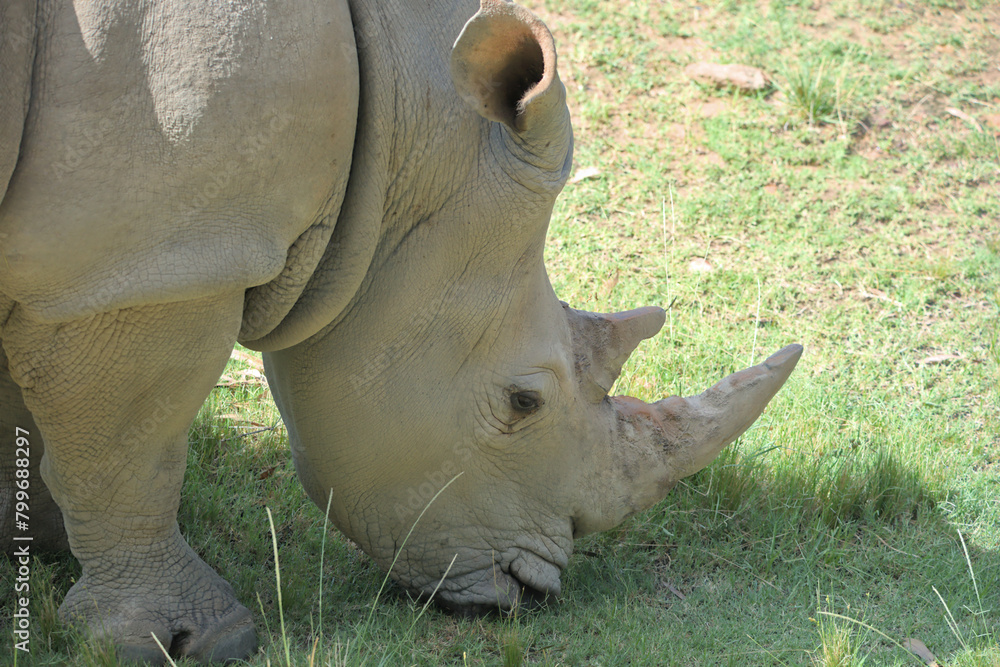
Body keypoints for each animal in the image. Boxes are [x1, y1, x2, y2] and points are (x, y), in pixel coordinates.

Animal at [0, 0, 801, 662]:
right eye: (523, 403)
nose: (532, 594)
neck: (399, 136)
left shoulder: (91, 261)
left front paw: (34, 542)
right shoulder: (156, 264)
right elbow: (131, 451)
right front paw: (191, 641)